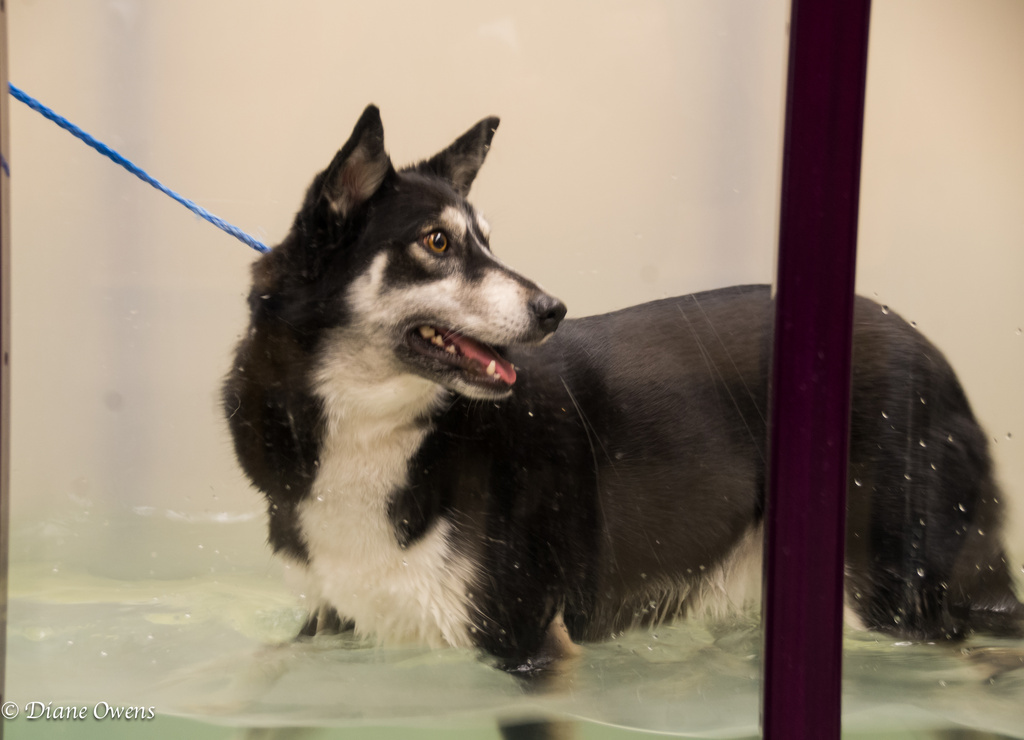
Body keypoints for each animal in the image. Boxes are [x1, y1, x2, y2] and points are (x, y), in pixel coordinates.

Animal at [224, 108, 1024, 671]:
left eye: (487, 240)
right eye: (437, 242)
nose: (553, 309)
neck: (380, 431)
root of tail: (933, 354)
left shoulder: (525, 636)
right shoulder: (330, 622)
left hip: (901, 598)